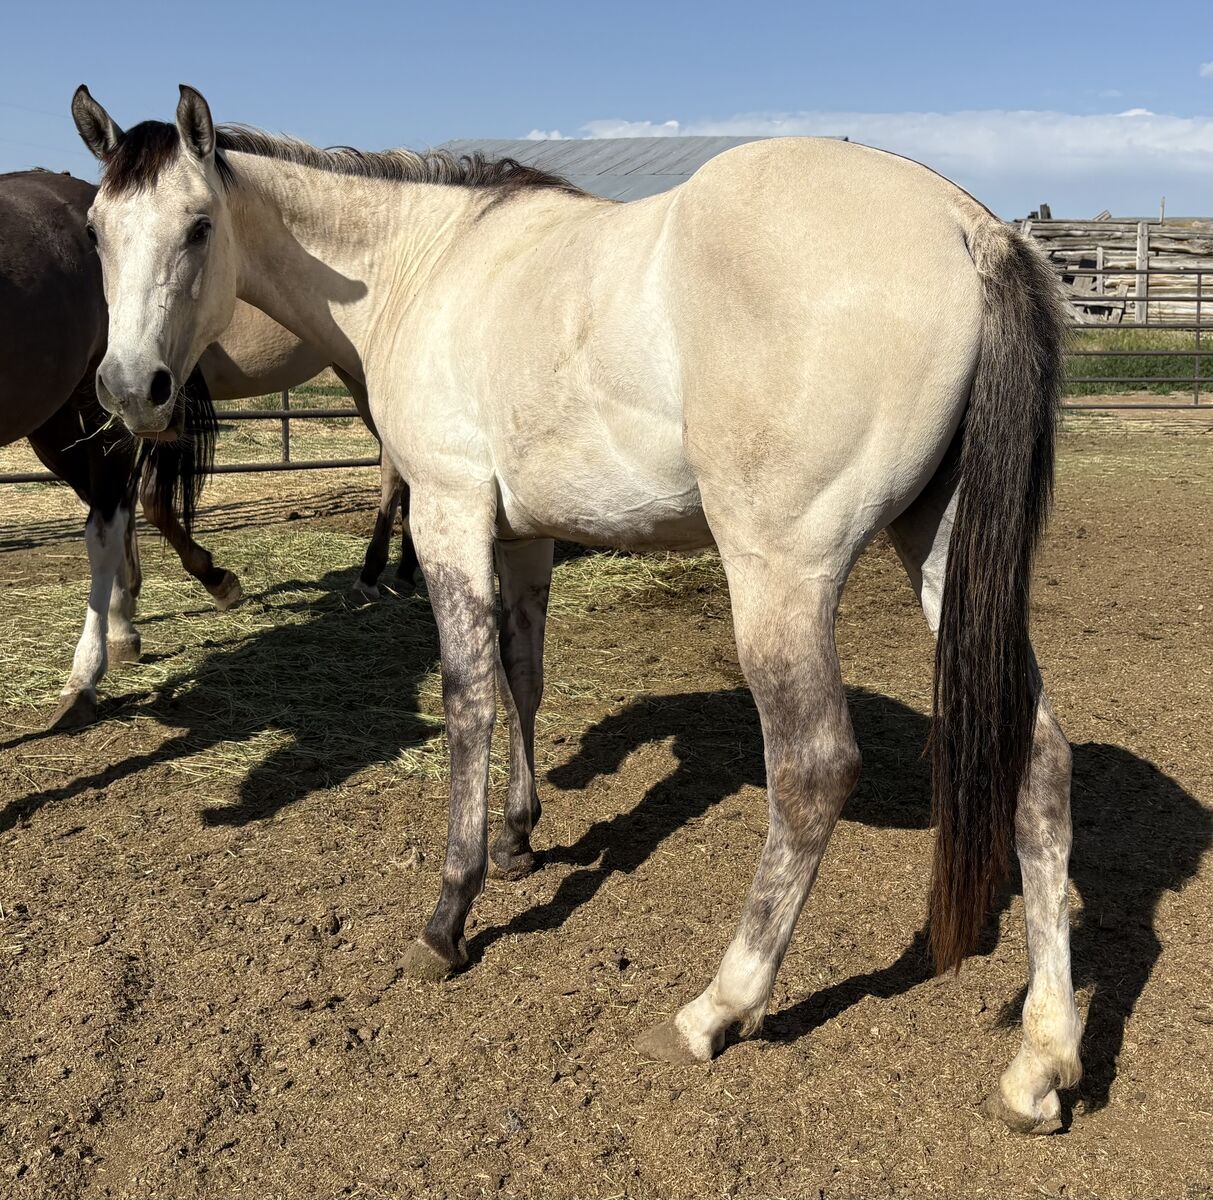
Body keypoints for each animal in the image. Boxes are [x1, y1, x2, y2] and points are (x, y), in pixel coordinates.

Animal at [0, 169, 415, 728]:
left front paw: (210, 584)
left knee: (395, 469)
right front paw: (127, 611)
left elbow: (148, 504)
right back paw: (405, 570)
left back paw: (374, 575)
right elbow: (132, 508)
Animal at [71, 85, 1080, 1135]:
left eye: (197, 225)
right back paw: (1043, 1057)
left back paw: (718, 1008)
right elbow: (523, 677)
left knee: (811, 770)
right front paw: (519, 839)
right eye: (96, 230)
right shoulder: (523, 535)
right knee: (1039, 762)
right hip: (940, 548)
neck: (422, 262)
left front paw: (450, 914)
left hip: (781, 575)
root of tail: (965, 225)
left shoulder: (448, 512)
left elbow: (468, 700)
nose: (127, 390)